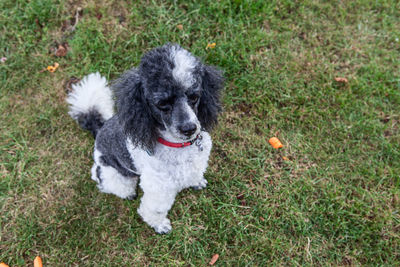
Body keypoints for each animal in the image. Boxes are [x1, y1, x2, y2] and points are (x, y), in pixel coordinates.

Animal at [65, 43, 222, 233]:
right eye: (162, 104)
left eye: (194, 97)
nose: (189, 129)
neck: (178, 145)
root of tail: (99, 129)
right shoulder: (158, 186)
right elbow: (155, 208)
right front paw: (159, 224)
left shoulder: (196, 162)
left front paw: (196, 182)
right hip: (114, 173)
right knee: (104, 179)